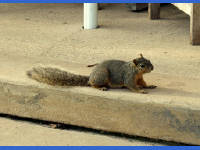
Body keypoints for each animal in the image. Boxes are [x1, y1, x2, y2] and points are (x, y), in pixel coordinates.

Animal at [26, 54, 156, 94]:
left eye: (149, 60)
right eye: (142, 65)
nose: (152, 67)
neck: (135, 71)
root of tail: (90, 78)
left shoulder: (139, 78)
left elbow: (143, 83)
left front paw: (149, 86)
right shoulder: (129, 77)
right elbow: (131, 85)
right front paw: (141, 90)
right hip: (102, 75)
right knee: (93, 85)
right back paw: (100, 87)